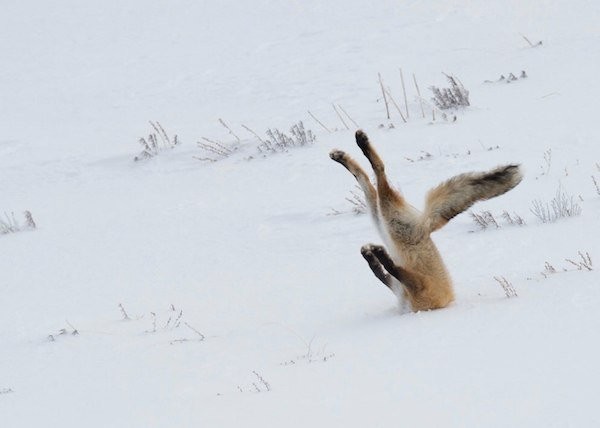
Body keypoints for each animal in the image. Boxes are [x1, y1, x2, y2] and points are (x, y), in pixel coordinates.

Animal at [330, 130, 524, 310]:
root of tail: (426, 225)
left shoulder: (418, 287)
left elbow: (390, 269)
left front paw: (377, 255)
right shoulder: (404, 287)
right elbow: (381, 272)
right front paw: (372, 255)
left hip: (389, 220)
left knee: (379, 173)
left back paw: (360, 144)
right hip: (383, 220)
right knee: (366, 179)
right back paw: (343, 155)